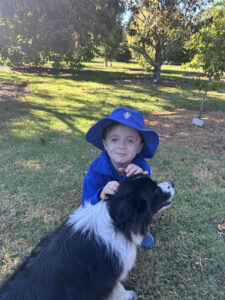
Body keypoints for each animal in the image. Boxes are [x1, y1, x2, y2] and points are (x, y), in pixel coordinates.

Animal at [0, 175, 175, 298]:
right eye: (155, 191)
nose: (172, 184)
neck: (117, 222)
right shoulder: (108, 278)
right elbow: (118, 288)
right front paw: (128, 295)